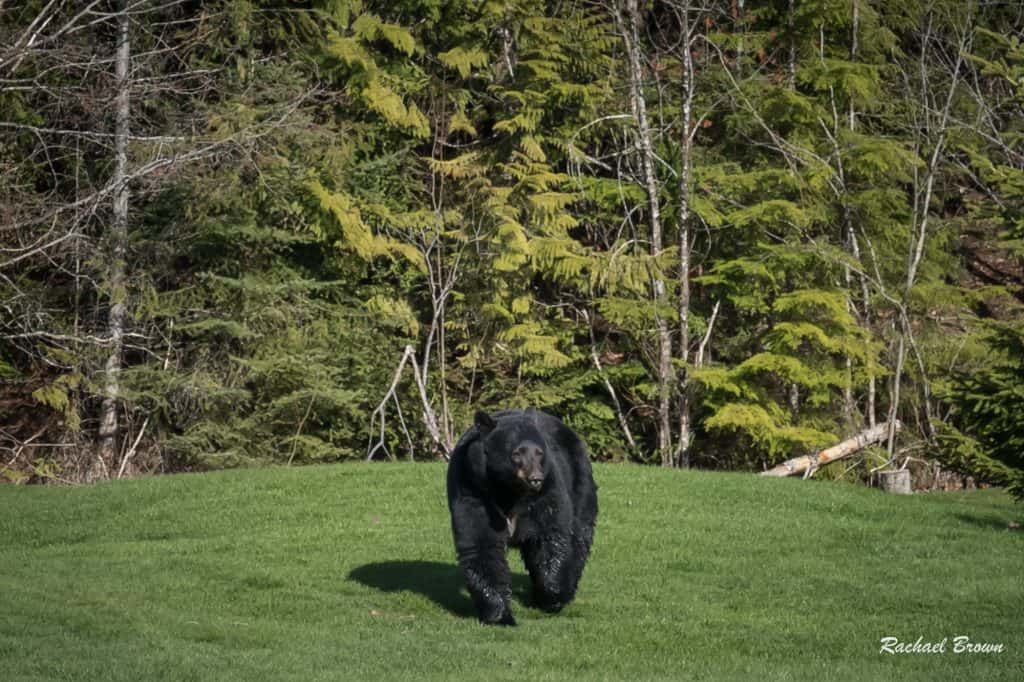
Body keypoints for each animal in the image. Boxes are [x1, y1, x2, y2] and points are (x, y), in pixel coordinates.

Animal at [446, 408, 598, 626]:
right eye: (516, 453)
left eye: (540, 453)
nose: (535, 479)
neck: (509, 490)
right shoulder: (472, 489)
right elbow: (480, 543)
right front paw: (499, 614)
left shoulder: (547, 491)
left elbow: (551, 537)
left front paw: (552, 597)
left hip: (580, 480)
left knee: (579, 536)